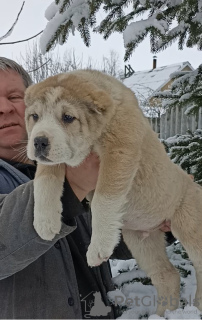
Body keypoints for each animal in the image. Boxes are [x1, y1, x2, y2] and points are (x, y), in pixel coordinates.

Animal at [24, 70, 202, 316]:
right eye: (34, 116)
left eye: (68, 117)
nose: (39, 142)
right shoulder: (53, 161)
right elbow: (44, 182)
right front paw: (44, 224)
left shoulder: (118, 152)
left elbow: (103, 199)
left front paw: (98, 249)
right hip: (141, 241)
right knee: (168, 276)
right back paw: (162, 315)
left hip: (190, 227)